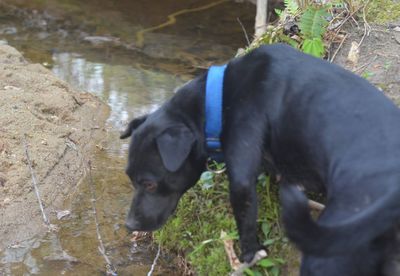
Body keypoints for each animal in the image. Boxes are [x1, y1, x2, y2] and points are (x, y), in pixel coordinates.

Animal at [120, 43, 400, 274]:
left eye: (150, 184)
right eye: (130, 179)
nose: (129, 225)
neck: (218, 98)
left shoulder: (242, 175)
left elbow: (245, 218)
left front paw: (250, 255)